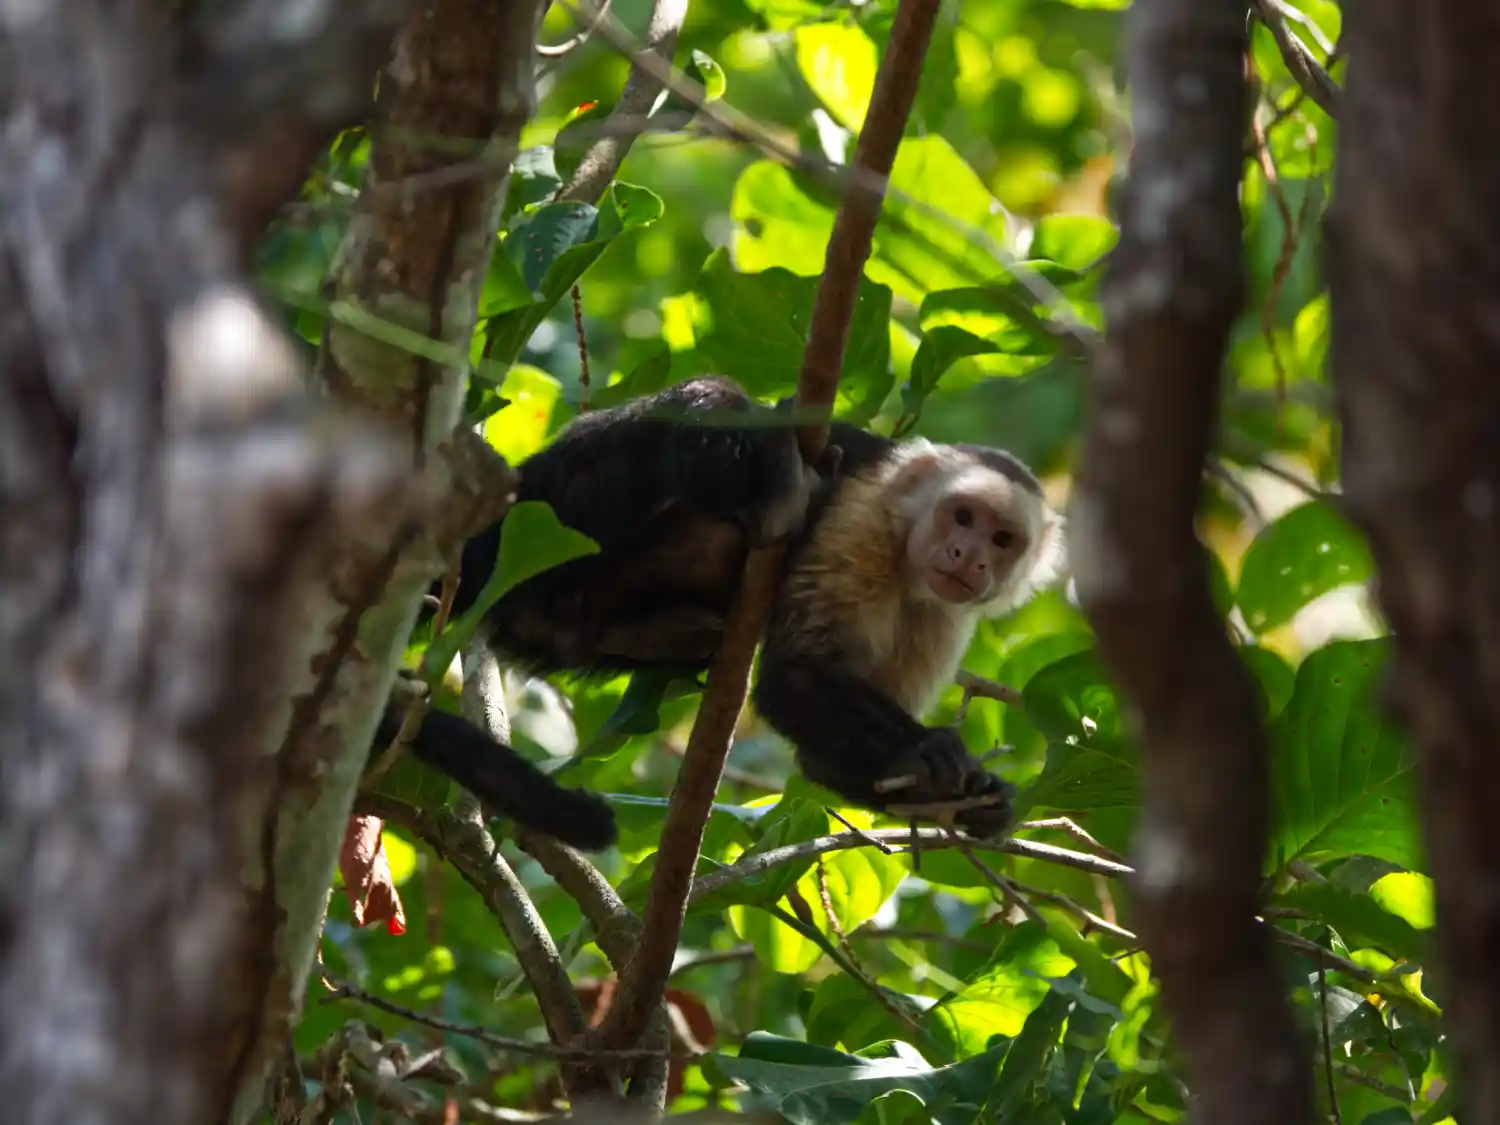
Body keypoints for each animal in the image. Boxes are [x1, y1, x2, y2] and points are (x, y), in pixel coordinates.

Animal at [375, 379, 1068, 852]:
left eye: (1002, 539)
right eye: (961, 516)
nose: (968, 556)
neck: (904, 560)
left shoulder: (945, 617)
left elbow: (819, 761)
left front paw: (979, 799)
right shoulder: (864, 520)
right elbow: (792, 680)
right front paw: (931, 750)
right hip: (552, 511)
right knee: (708, 402)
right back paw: (782, 486)